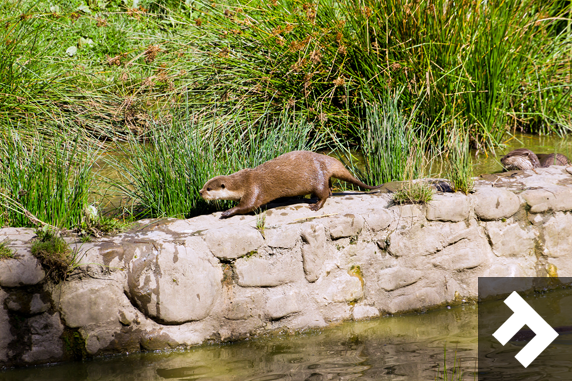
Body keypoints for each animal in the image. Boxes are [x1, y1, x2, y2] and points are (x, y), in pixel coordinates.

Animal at [199, 150, 382, 218]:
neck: (241, 182)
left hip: (316, 180)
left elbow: (248, 206)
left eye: (209, 188)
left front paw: (227, 212)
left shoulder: (253, 188)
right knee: (329, 185)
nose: (200, 192)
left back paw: (316, 205)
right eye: (204, 186)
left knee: (322, 193)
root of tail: (326, 160)